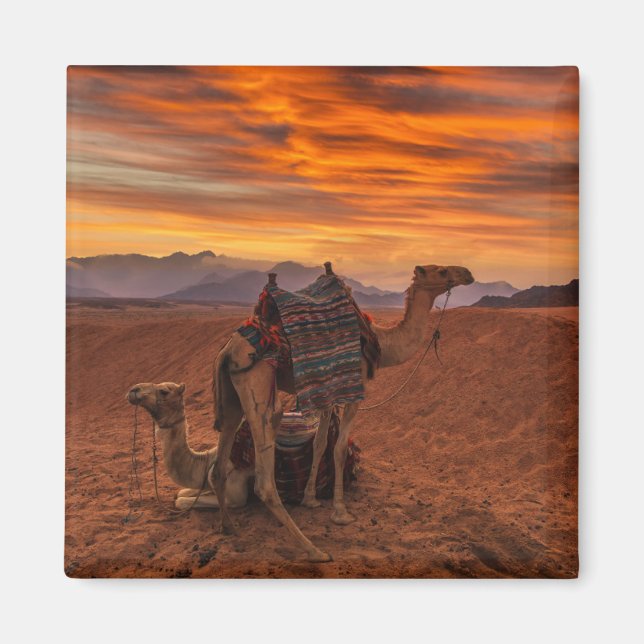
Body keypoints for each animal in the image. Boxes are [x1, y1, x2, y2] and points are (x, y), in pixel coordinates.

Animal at [212, 263, 474, 562]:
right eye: (440, 271)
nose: (467, 273)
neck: (379, 340)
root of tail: (228, 351)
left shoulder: (327, 392)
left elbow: (319, 443)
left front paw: (311, 499)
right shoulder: (353, 391)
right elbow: (338, 448)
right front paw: (340, 512)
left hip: (232, 396)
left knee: (219, 466)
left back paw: (228, 527)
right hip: (258, 385)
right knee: (264, 479)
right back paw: (314, 550)